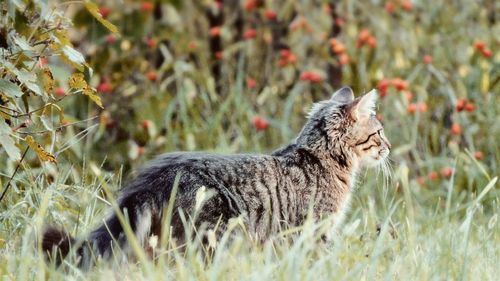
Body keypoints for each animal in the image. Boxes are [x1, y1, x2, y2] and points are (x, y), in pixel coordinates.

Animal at [42, 86, 390, 266]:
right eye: (379, 133)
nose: (388, 147)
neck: (321, 158)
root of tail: (156, 177)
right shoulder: (313, 230)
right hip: (215, 235)